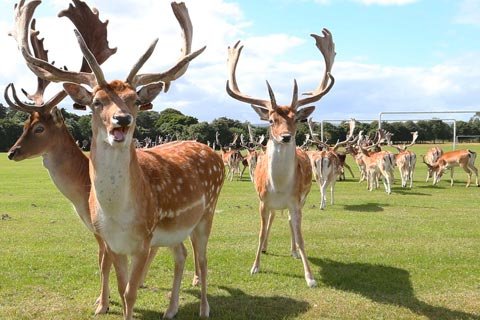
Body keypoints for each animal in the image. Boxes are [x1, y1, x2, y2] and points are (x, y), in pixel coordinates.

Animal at [12, 1, 223, 318]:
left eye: (135, 99)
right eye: (96, 101)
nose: (122, 120)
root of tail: (214, 154)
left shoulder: (144, 239)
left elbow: (129, 291)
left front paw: (103, 303)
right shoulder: (112, 242)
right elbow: (122, 289)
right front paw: (105, 303)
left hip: (206, 213)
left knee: (203, 258)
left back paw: (205, 309)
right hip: (175, 229)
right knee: (182, 254)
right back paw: (171, 309)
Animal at [224, 28, 334, 288]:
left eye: (297, 119)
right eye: (272, 120)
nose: (285, 136)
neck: (281, 187)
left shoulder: (296, 202)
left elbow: (301, 236)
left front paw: (310, 277)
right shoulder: (262, 201)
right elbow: (260, 232)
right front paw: (254, 266)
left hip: (303, 198)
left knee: (290, 224)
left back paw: (292, 250)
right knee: (273, 220)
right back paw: (265, 248)